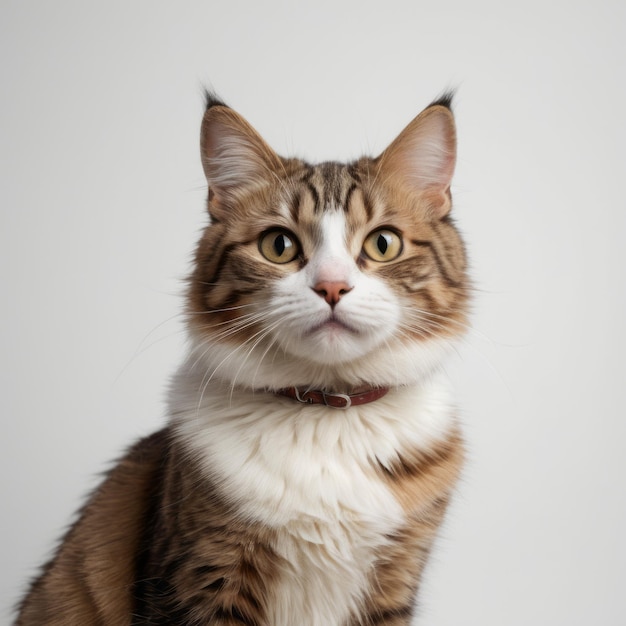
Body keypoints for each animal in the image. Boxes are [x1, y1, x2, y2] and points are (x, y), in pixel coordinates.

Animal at [15, 89, 468, 624]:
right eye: (279, 245)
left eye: (382, 243)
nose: (332, 287)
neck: (326, 411)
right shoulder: (204, 575)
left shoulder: (394, 582)